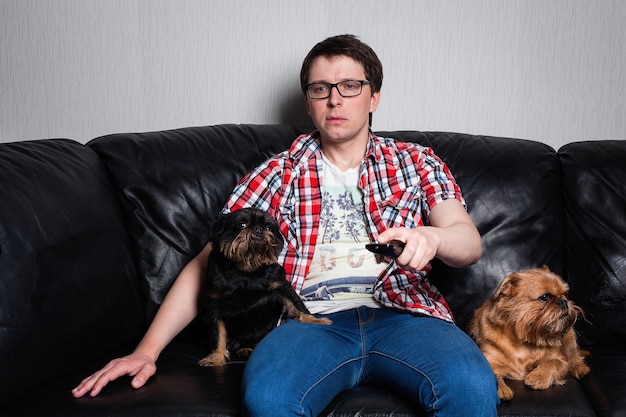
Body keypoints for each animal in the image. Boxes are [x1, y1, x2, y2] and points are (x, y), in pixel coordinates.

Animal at [199, 207, 332, 364]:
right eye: (242, 225)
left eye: (268, 227)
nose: (258, 228)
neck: (247, 271)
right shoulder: (214, 302)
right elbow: (217, 333)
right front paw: (216, 357)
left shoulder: (281, 285)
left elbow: (297, 304)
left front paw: (315, 321)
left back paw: (246, 349)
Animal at [466, 266, 588, 400]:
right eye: (544, 297)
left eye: (565, 294)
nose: (564, 301)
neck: (522, 341)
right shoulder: (489, 360)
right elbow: (491, 374)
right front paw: (501, 388)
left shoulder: (561, 360)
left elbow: (553, 362)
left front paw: (538, 377)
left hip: (569, 337)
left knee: (573, 354)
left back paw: (580, 368)